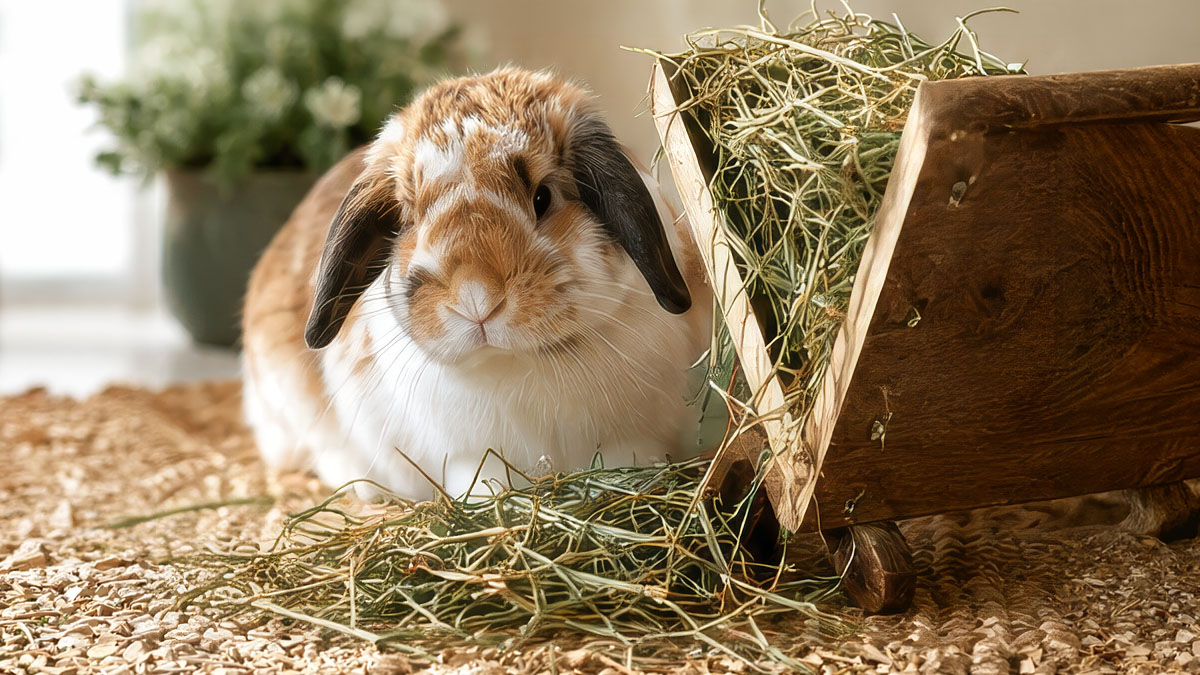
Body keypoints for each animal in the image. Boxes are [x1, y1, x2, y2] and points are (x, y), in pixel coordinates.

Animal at [241, 67, 713, 500]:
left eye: (542, 197)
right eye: (409, 219)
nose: (475, 298)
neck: (515, 362)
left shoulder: (632, 435)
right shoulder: (467, 455)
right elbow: (480, 480)